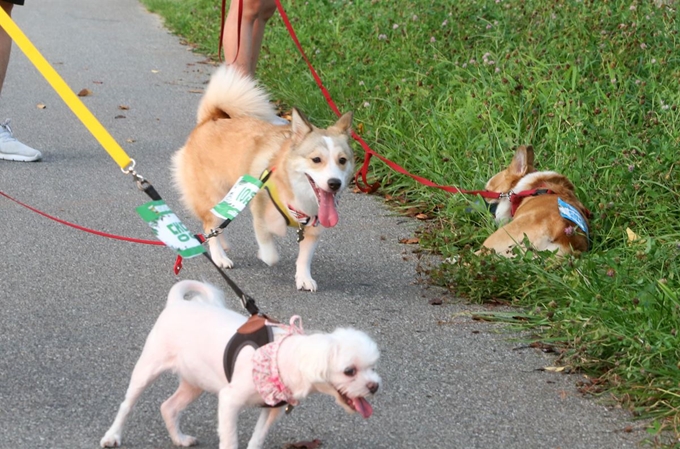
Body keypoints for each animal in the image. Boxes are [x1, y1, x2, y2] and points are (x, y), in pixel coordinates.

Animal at [171, 65, 356, 290]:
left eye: (342, 160)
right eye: (316, 159)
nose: (334, 183)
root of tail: (211, 118)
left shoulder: (314, 226)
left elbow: (305, 257)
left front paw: (304, 277)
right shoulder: (258, 206)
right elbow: (267, 242)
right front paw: (269, 252)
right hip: (213, 193)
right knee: (210, 224)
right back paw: (219, 256)